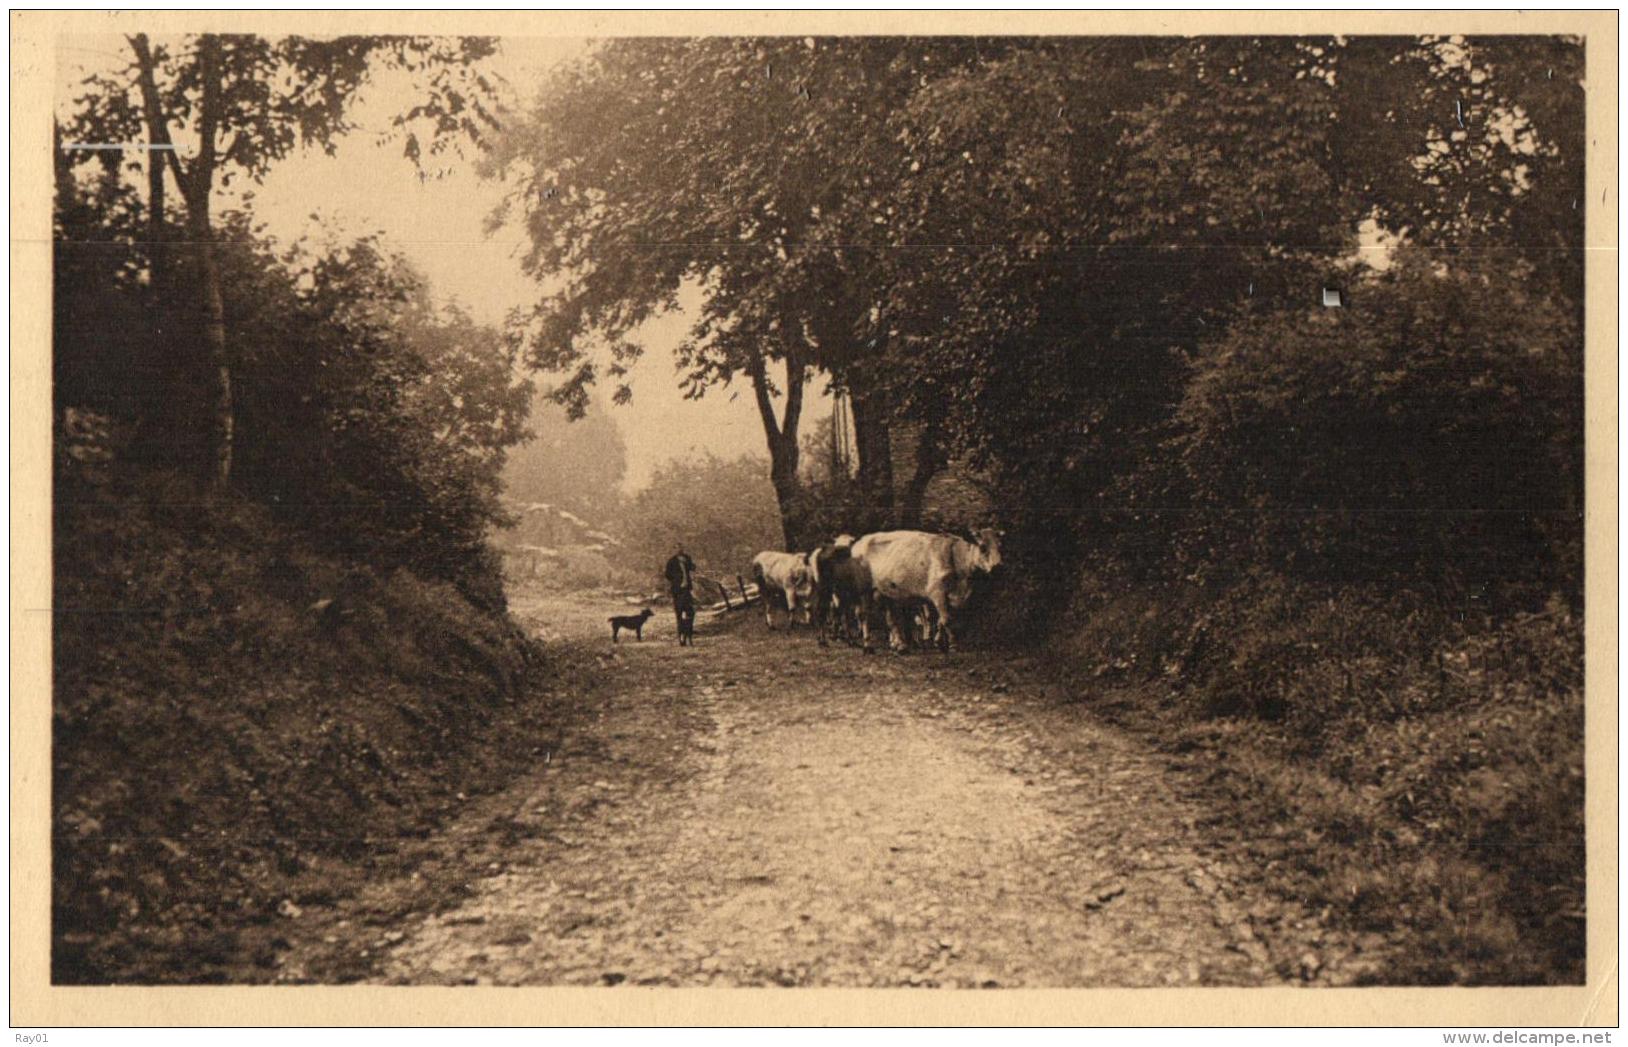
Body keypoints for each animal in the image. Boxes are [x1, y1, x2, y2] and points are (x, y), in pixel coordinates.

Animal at [846, 527, 996, 651]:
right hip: (864, 590)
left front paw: (937, 642)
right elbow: (946, 619)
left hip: (885, 592)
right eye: (983, 547)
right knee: (864, 615)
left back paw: (900, 644)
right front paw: (953, 644)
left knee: (891, 619)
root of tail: (860, 542)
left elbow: (940, 620)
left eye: (999, 546)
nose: (997, 567)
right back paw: (867, 644)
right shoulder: (937, 592)